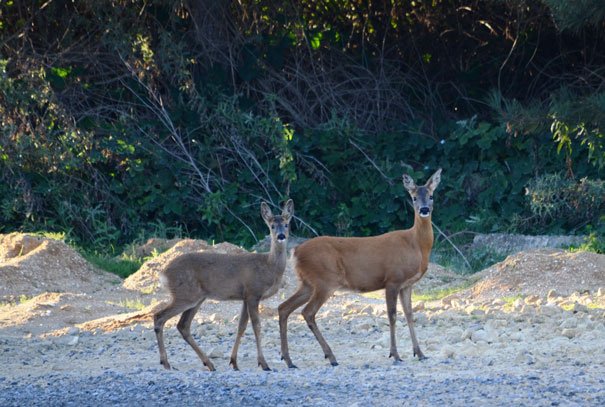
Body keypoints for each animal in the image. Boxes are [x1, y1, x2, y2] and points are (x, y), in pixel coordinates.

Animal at [151, 200, 292, 372]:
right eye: (272, 226)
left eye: (286, 224)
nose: (281, 236)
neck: (269, 267)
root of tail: (163, 273)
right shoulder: (253, 292)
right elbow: (257, 326)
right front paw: (263, 364)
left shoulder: (245, 297)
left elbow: (241, 326)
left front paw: (234, 362)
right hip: (185, 295)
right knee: (159, 317)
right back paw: (166, 362)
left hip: (197, 298)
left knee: (182, 325)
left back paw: (208, 363)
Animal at [276, 171, 442, 368]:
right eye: (414, 197)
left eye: (431, 196)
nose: (424, 209)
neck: (416, 245)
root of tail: (296, 251)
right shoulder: (392, 279)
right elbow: (392, 316)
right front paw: (395, 354)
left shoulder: (407, 284)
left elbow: (409, 315)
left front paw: (420, 353)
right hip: (325, 280)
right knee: (307, 312)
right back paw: (331, 357)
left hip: (307, 283)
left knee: (283, 308)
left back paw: (288, 360)